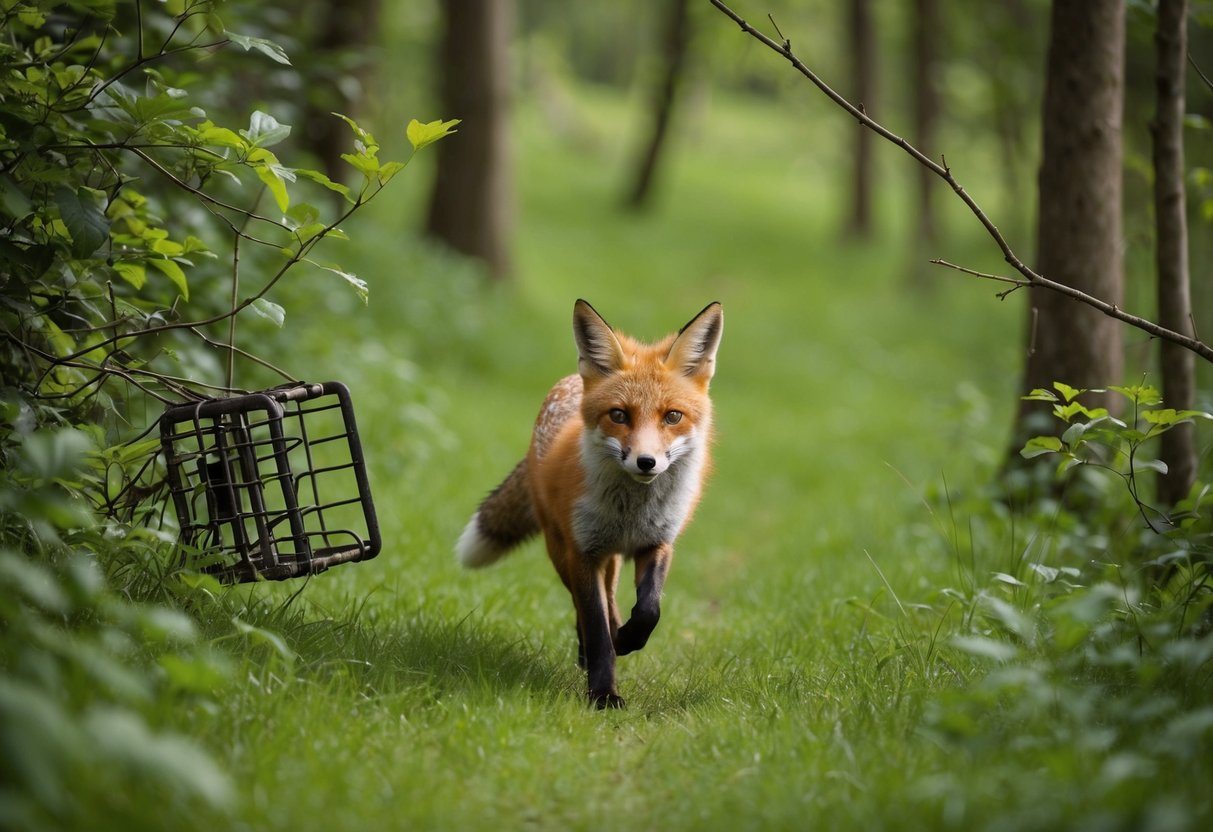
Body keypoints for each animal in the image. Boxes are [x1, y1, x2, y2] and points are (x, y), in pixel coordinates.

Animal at [455, 299, 724, 708]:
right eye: (619, 415)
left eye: (673, 416)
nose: (646, 462)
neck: (630, 515)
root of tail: (570, 380)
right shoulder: (583, 551)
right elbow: (596, 626)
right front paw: (603, 693)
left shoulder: (658, 543)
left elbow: (648, 610)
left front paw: (629, 639)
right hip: (563, 549)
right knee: (591, 607)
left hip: (608, 559)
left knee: (612, 598)